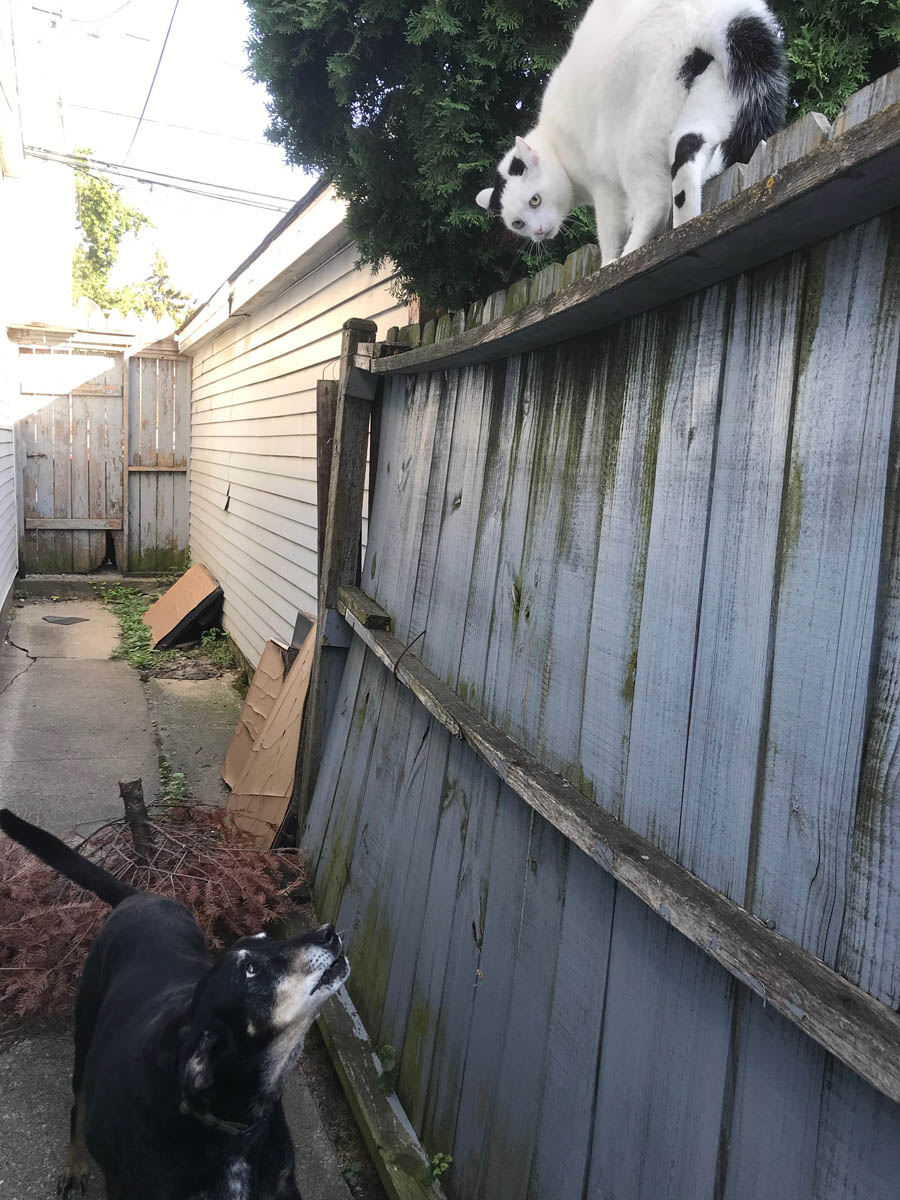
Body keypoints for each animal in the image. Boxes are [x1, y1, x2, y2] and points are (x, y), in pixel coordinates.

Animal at [0, 806, 350, 1200]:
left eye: (265, 938)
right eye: (251, 970)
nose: (328, 932)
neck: (234, 1120)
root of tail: (139, 896)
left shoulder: (282, 1185)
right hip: (85, 1035)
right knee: (79, 1103)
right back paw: (75, 1166)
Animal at [480, 0, 787, 265]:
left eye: (535, 200)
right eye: (518, 223)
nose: (539, 232)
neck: (555, 146)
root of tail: (709, 11)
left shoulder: (604, 186)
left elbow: (609, 230)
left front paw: (608, 262)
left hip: (635, 140)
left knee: (656, 203)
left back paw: (630, 255)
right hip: (708, 98)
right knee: (686, 154)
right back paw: (687, 230)